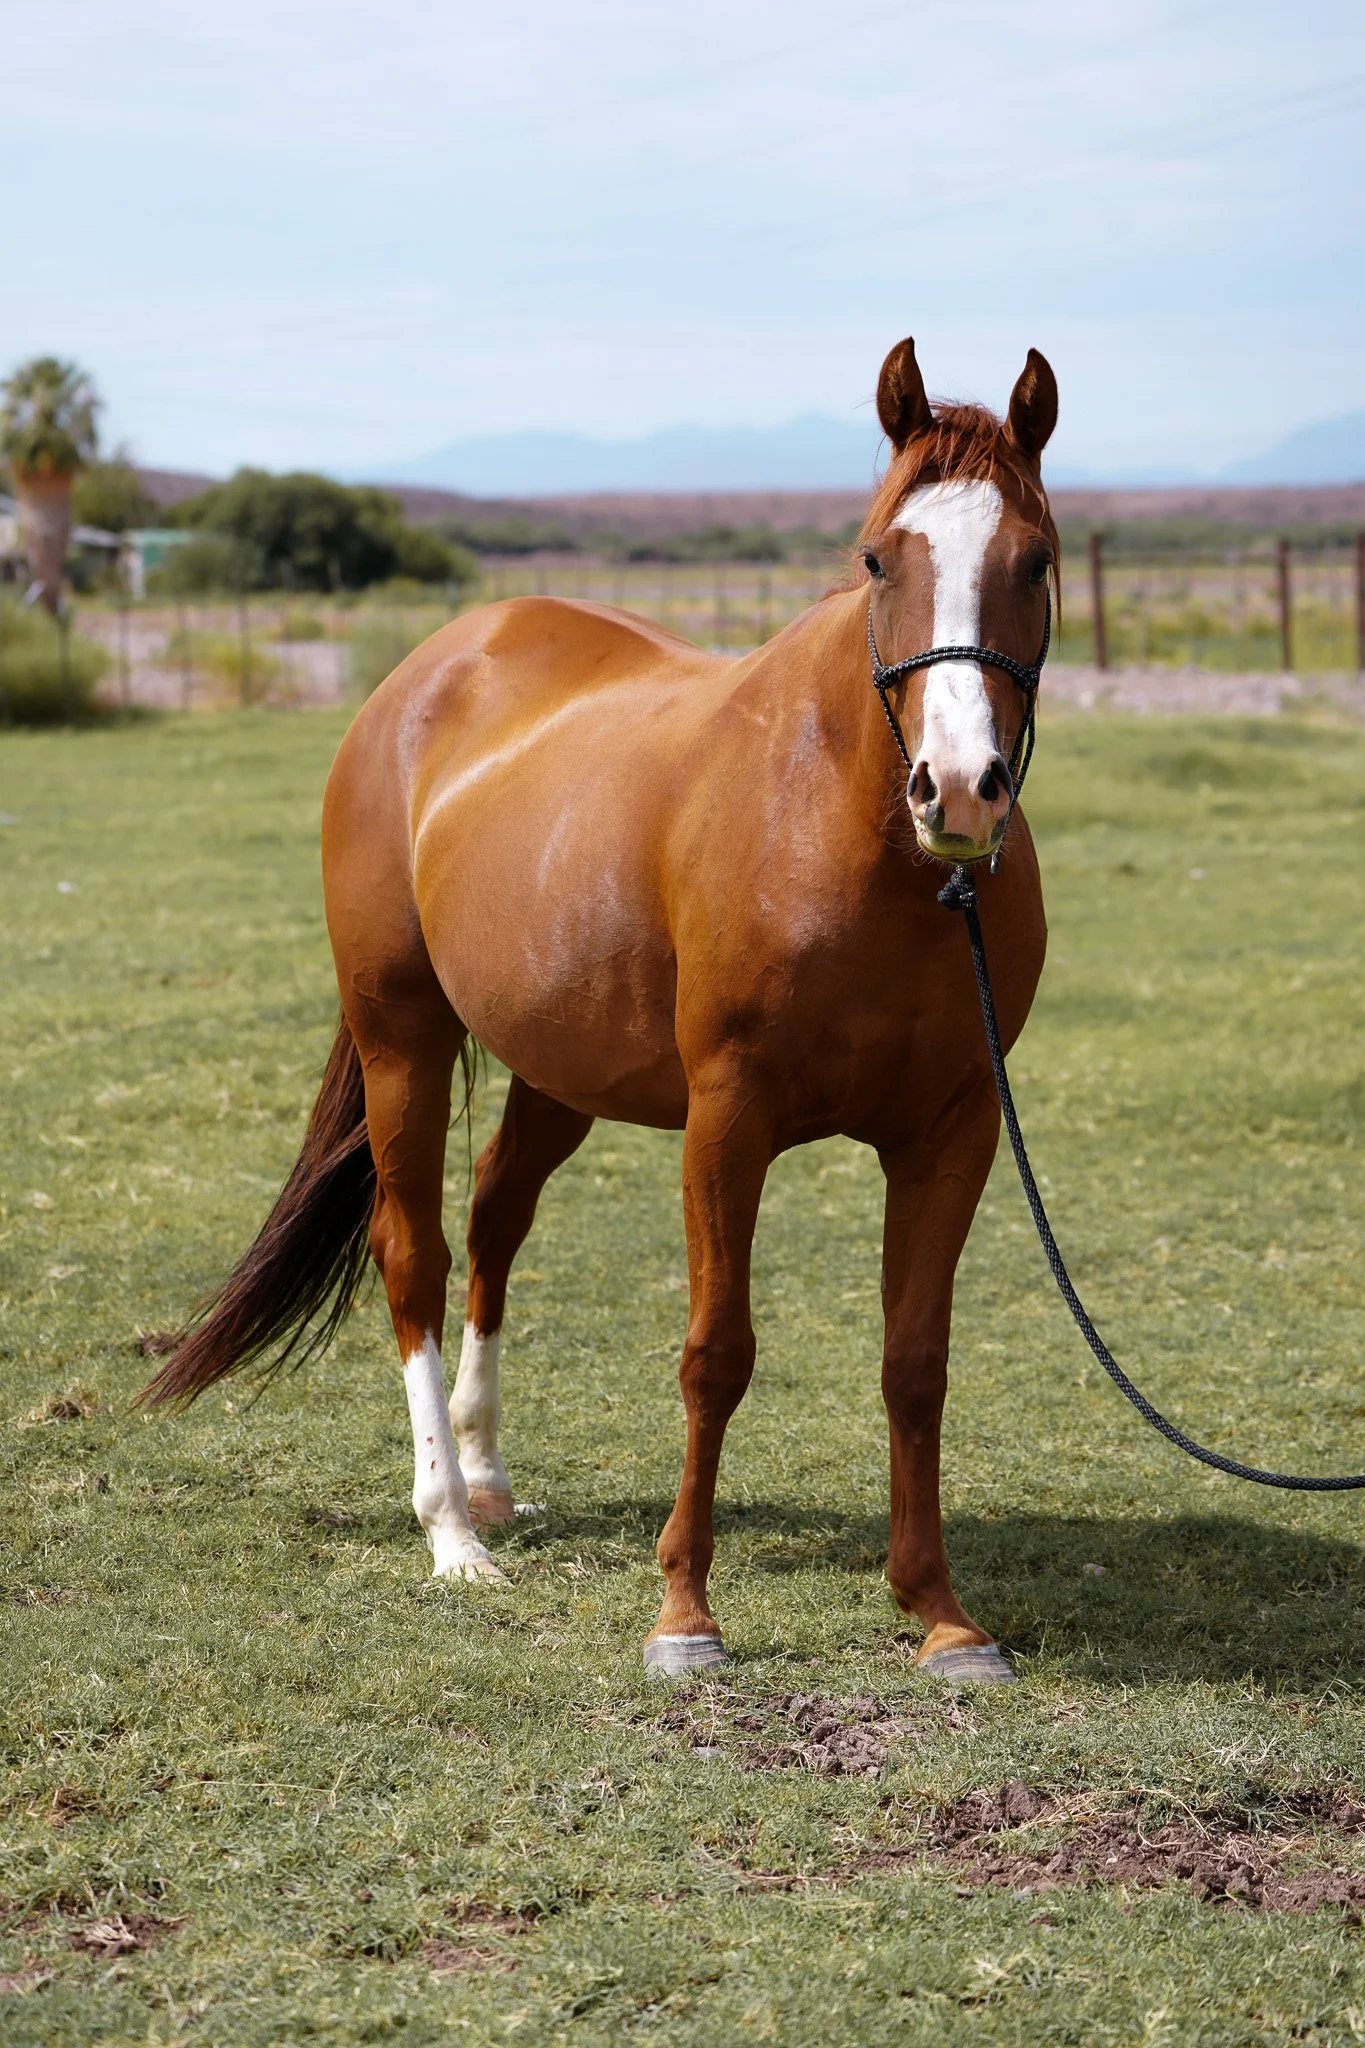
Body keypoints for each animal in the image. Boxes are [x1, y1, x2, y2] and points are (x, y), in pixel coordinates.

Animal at [143, 336, 1059, 1685]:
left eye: (1035, 558)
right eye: (879, 557)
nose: (959, 789)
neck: (854, 834)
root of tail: (423, 676)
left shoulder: (953, 1131)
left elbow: (915, 1361)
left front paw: (941, 1611)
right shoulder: (728, 1124)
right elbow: (716, 1353)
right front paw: (684, 1612)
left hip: (555, 1070)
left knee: (495, 1220)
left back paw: (483, 1470)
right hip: (404, 1041)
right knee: (416, 1252)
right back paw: (451, 1528)